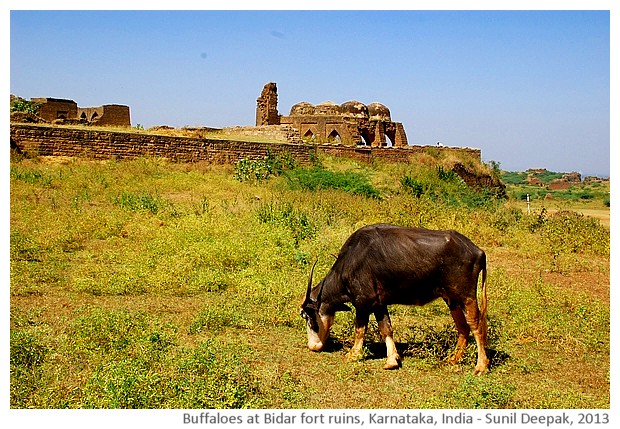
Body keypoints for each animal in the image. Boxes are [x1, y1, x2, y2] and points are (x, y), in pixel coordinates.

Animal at [300, 222, 490, 372]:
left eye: (307, 316)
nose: (313, 346)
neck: (351, 260)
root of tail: (478, 251)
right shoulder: (379, 304)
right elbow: (386, 328)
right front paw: (392, 360)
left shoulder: (362, 303)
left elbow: (360, 329)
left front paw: (353, 354)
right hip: (452, 299)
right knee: (463, 328)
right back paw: (454, 359)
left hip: (466, 296)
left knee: (476, 324)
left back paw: (481, 365)